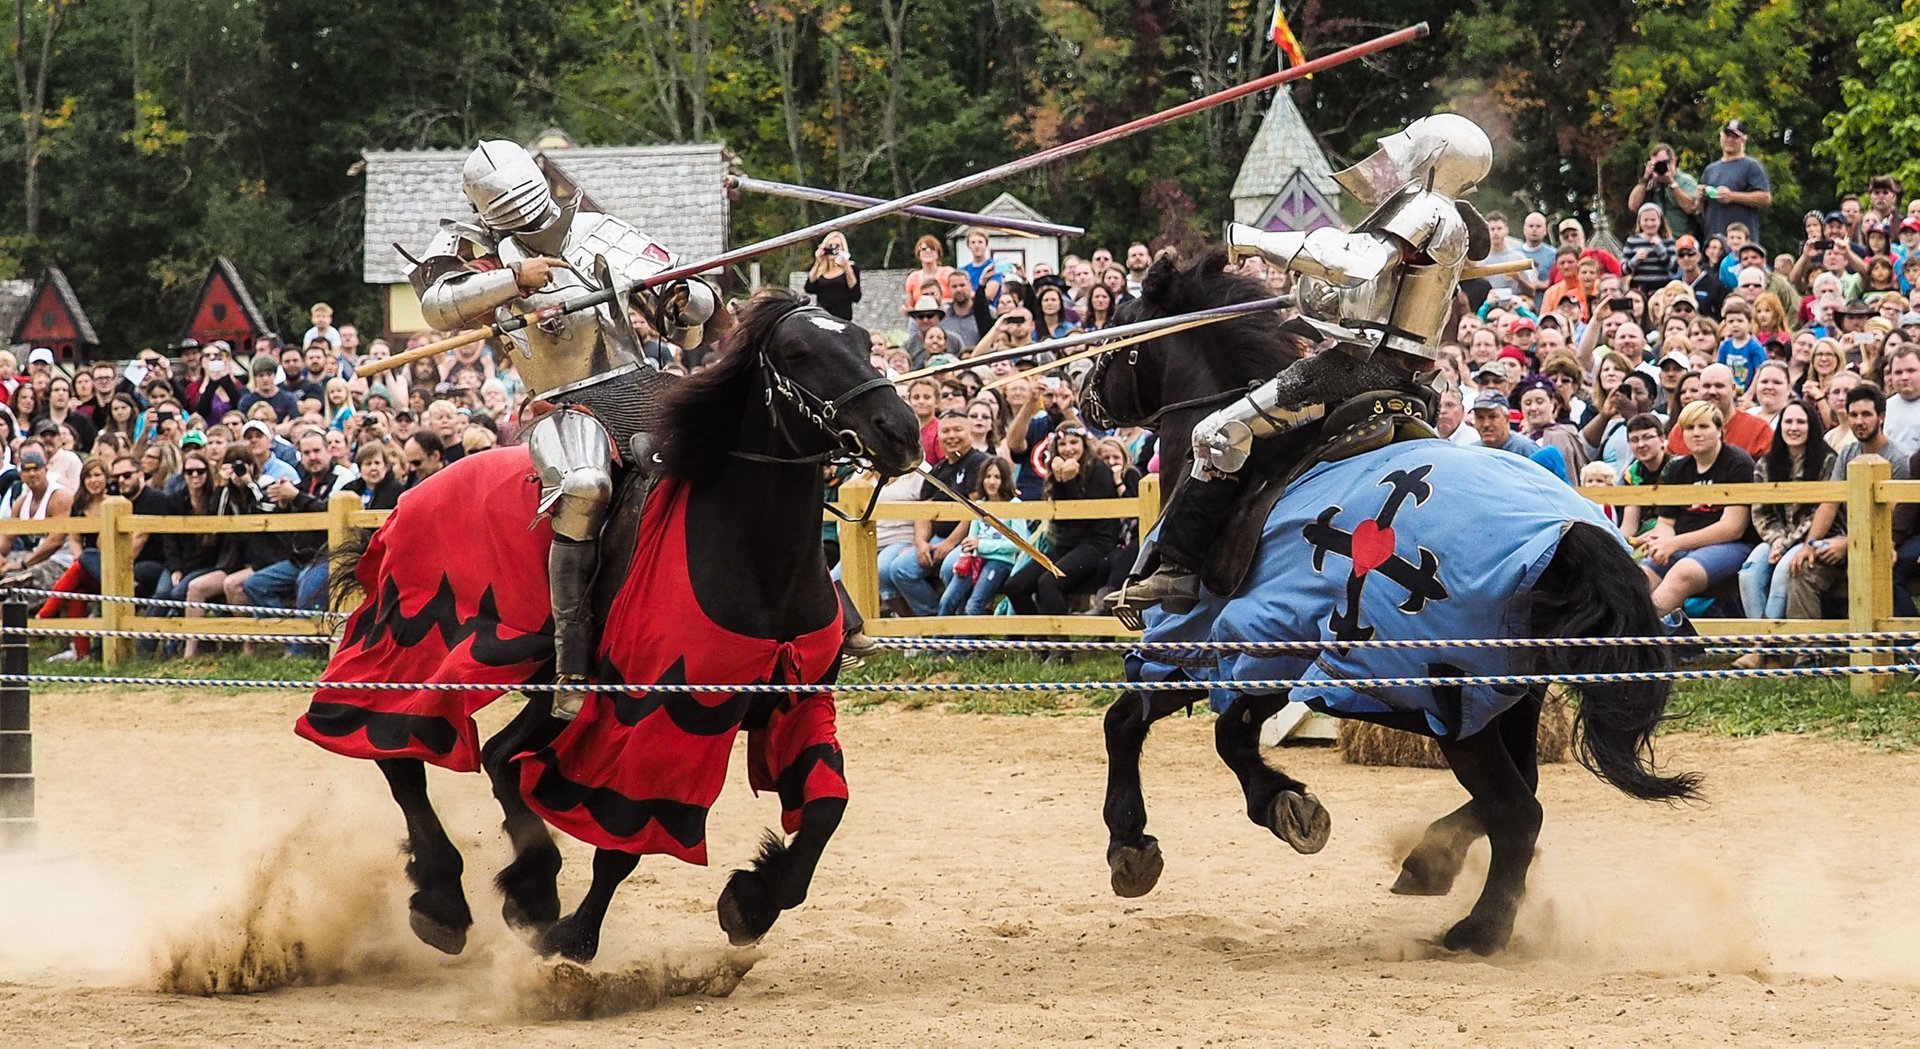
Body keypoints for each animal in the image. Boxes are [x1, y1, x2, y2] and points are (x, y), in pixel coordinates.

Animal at [307, 290, 921, 960]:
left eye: (862, 342)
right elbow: (621, 840)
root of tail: (410, 495)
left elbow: (826, 807)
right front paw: (576, 936)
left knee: (498, 757)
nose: (900, 432)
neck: (754, 557)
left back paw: (530, 888)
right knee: (398, 750)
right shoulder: (650, 718)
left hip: (547, 686)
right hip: (423, 639)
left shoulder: (800, 702)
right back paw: (444, 897)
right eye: (797, 353)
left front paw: (754, 901)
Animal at [1082, 251, 1697, 945]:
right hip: (1508, 694)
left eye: (1119, 332)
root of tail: (1574, 532)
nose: (1083, 397)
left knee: (1518, 810)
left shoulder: (1223, 645)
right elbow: (1166, 725)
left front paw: (1244, 813)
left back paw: (1478, 931)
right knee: (1521, 794)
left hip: (1452, 697)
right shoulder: (1253, 651)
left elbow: (1181, 729)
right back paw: (1433, 862)